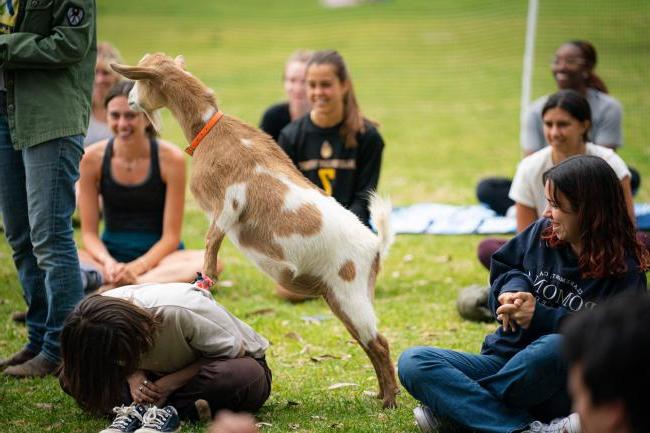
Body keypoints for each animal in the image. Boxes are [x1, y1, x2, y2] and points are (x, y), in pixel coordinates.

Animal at [109, 54, 398, 408]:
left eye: (140, 80)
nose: (130, 101)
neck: (212, 130)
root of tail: (375, 245)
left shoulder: (228, 204)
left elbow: (210, 247)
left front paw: (204, 286)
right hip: (344, 298)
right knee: (368, 343)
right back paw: (380, 395)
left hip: (349, 293)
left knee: (379, 343)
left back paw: (389, 402)